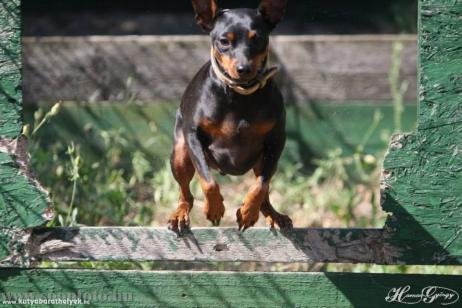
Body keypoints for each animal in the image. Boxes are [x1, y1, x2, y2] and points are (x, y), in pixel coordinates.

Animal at [170, 0, 292, 231]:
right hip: (180, 152)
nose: (244, 69)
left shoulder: (276, 141)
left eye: (257, 39)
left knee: (264, 189)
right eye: (224, 41)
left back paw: (272, 215)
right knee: (185, 193)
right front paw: (214, 208)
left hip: (263, 160)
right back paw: (180, 214)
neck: (239, 94)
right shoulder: (192, 136)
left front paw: (247, 212)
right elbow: (208, 181)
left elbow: (261, 186)